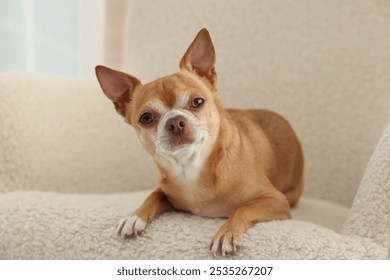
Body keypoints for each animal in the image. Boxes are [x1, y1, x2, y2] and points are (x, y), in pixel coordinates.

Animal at [96, 29, 304, 256]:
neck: (190, 168)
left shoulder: (275, 199)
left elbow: (243, 207)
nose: (175, 122)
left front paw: (226, 233)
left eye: (197, 102)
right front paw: (134, 217)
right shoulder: (170, 196)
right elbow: (154, 194)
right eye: (146, 118)